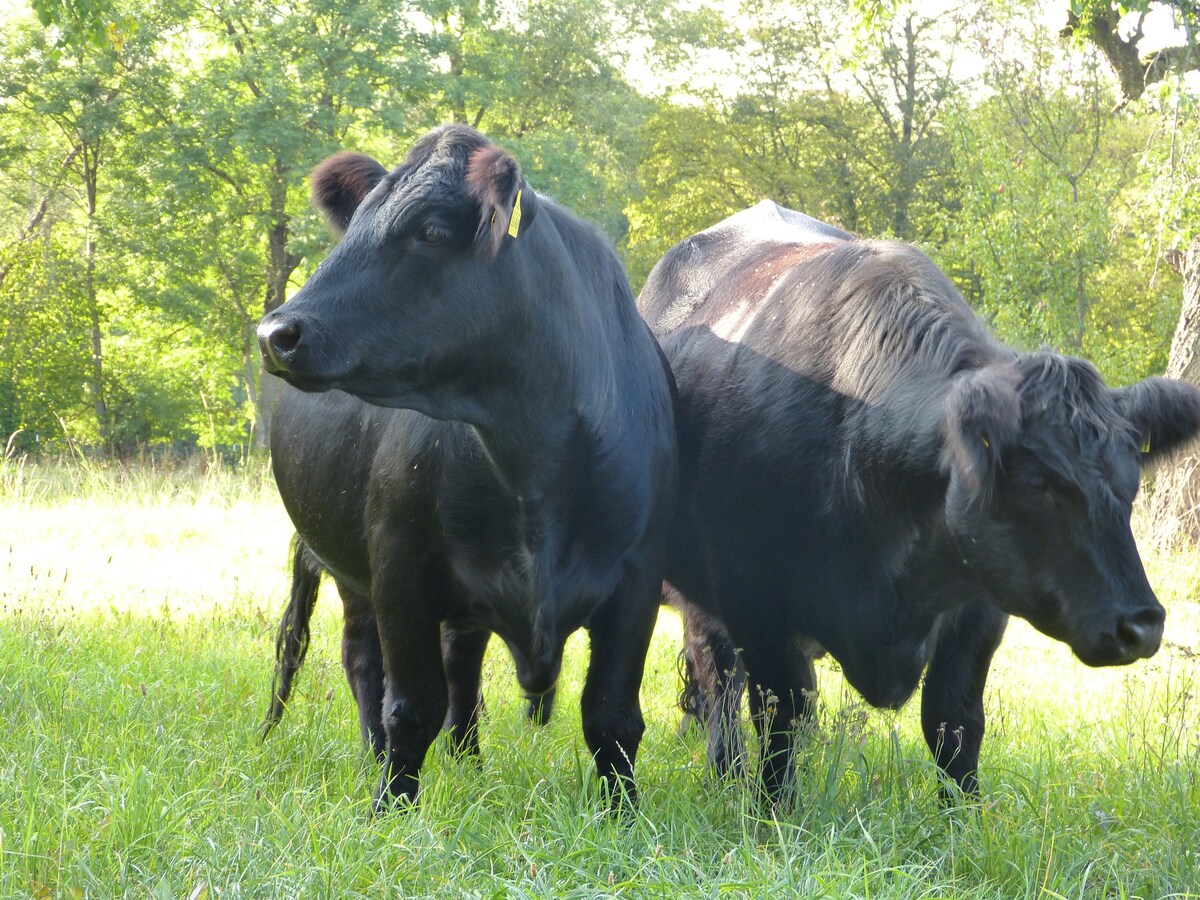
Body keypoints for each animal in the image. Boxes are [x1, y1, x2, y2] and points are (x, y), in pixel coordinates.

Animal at [258, 125, 681, 811]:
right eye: (355, 225)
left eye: (430, 229)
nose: (276, 333)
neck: (532, 464)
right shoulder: (398, 560)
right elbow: (410, 705)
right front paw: (391, 809)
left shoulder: (638, 574)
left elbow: (612, 714)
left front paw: (624, 814)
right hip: (340, 562)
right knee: (356, 659)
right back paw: (368, 753)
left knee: (461, 663)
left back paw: (469, 763)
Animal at [638, 204, 1200, 801]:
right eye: (1036, 483)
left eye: (1130, 483)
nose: (1141, 624)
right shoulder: (755, 600)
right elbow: (775, 718)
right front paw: (772, 809)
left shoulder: (980, 606)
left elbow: (953, 723)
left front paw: (963, 815)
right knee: (719, 683)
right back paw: (725, 775)